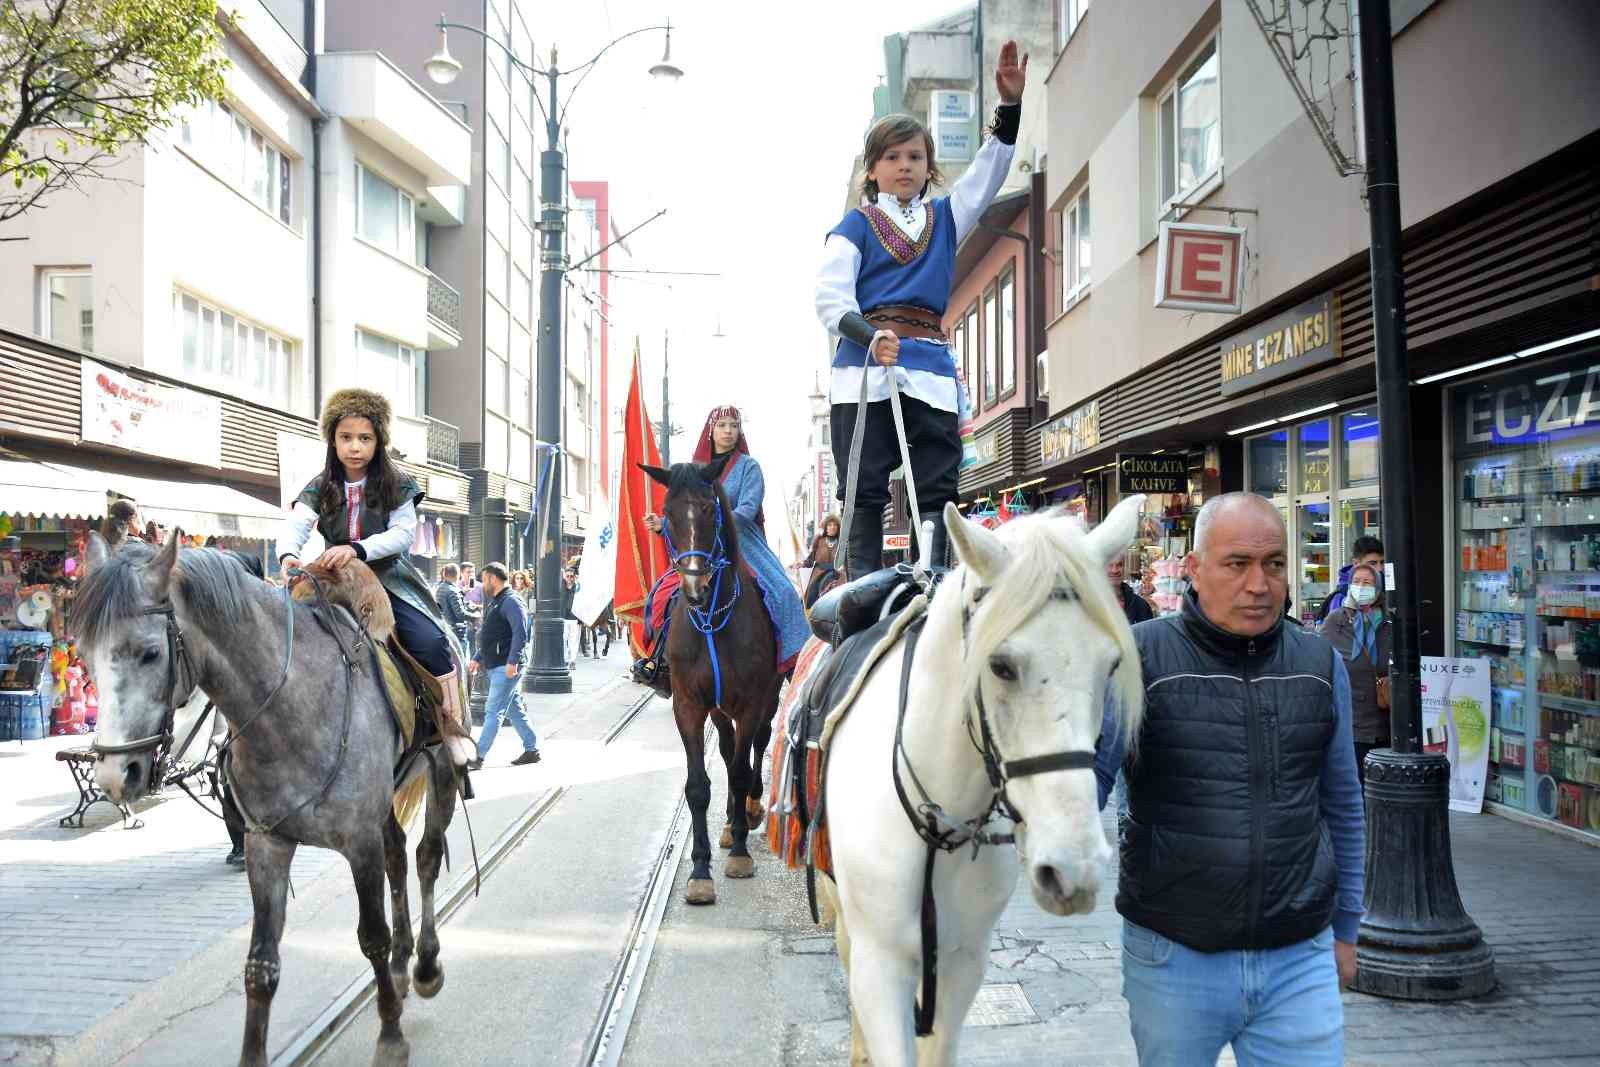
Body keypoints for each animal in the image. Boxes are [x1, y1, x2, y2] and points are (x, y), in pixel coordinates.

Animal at [79, 531, 457, 1067]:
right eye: (85, 654)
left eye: (150, 653)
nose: (115, 775)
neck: (293, 707)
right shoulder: (267, 845)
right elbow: (260, 964)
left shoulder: (357, 842)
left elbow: (371, 938)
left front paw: (390, 1037)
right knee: (399, 858)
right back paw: (405, 968)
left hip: (442, 769)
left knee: (425, 858)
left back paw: (424, 966)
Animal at [643, 454, 780, 908]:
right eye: (667, 513)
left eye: (707, 509)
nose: (695, 586)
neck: (711, 620)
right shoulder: (688, 704)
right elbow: (699, 785)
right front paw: (700, 872)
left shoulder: (751, 703)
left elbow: (739, 771)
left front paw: (739, 853)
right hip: (719, 710)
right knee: (726, 748)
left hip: (767, 698)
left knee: (756, 747)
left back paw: (749, 811)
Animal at [819, 495, 1145, 1062]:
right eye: (1001, 665)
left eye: (1110, 665)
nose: (1075, 870)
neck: (934, 817)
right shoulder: (881, 966)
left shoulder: (964, 960)